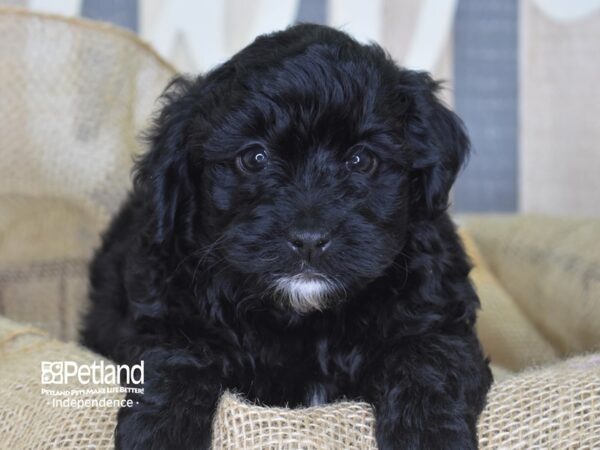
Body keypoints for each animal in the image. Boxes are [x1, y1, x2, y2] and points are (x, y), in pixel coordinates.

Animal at [81, 23, 492, 446]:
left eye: (361, 160)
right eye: (254, 158)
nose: (309, 239)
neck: (304, 317)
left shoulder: (437, 318)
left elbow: (427, 363)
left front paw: (430, 436)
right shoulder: (168, 311)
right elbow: (175, 362)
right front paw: (159, 435)